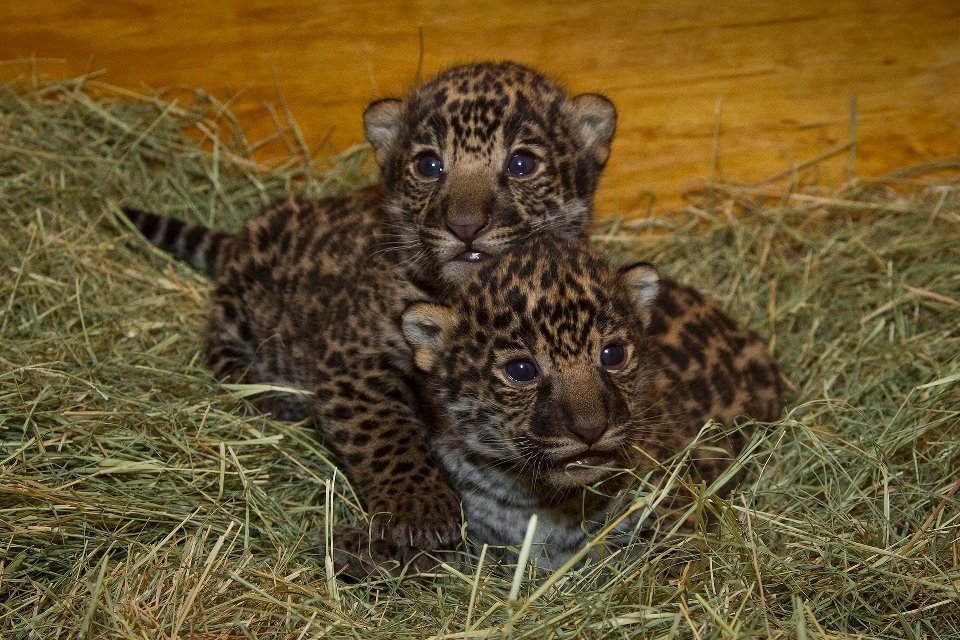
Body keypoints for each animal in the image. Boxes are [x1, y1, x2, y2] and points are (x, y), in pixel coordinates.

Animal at [120, 61, 618, 566]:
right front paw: (421, 510)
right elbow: (386, 433)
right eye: (429, 165)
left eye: (521, 164)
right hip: (240, 313)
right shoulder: (351, 358)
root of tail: (243, 237)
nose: (465, 226)